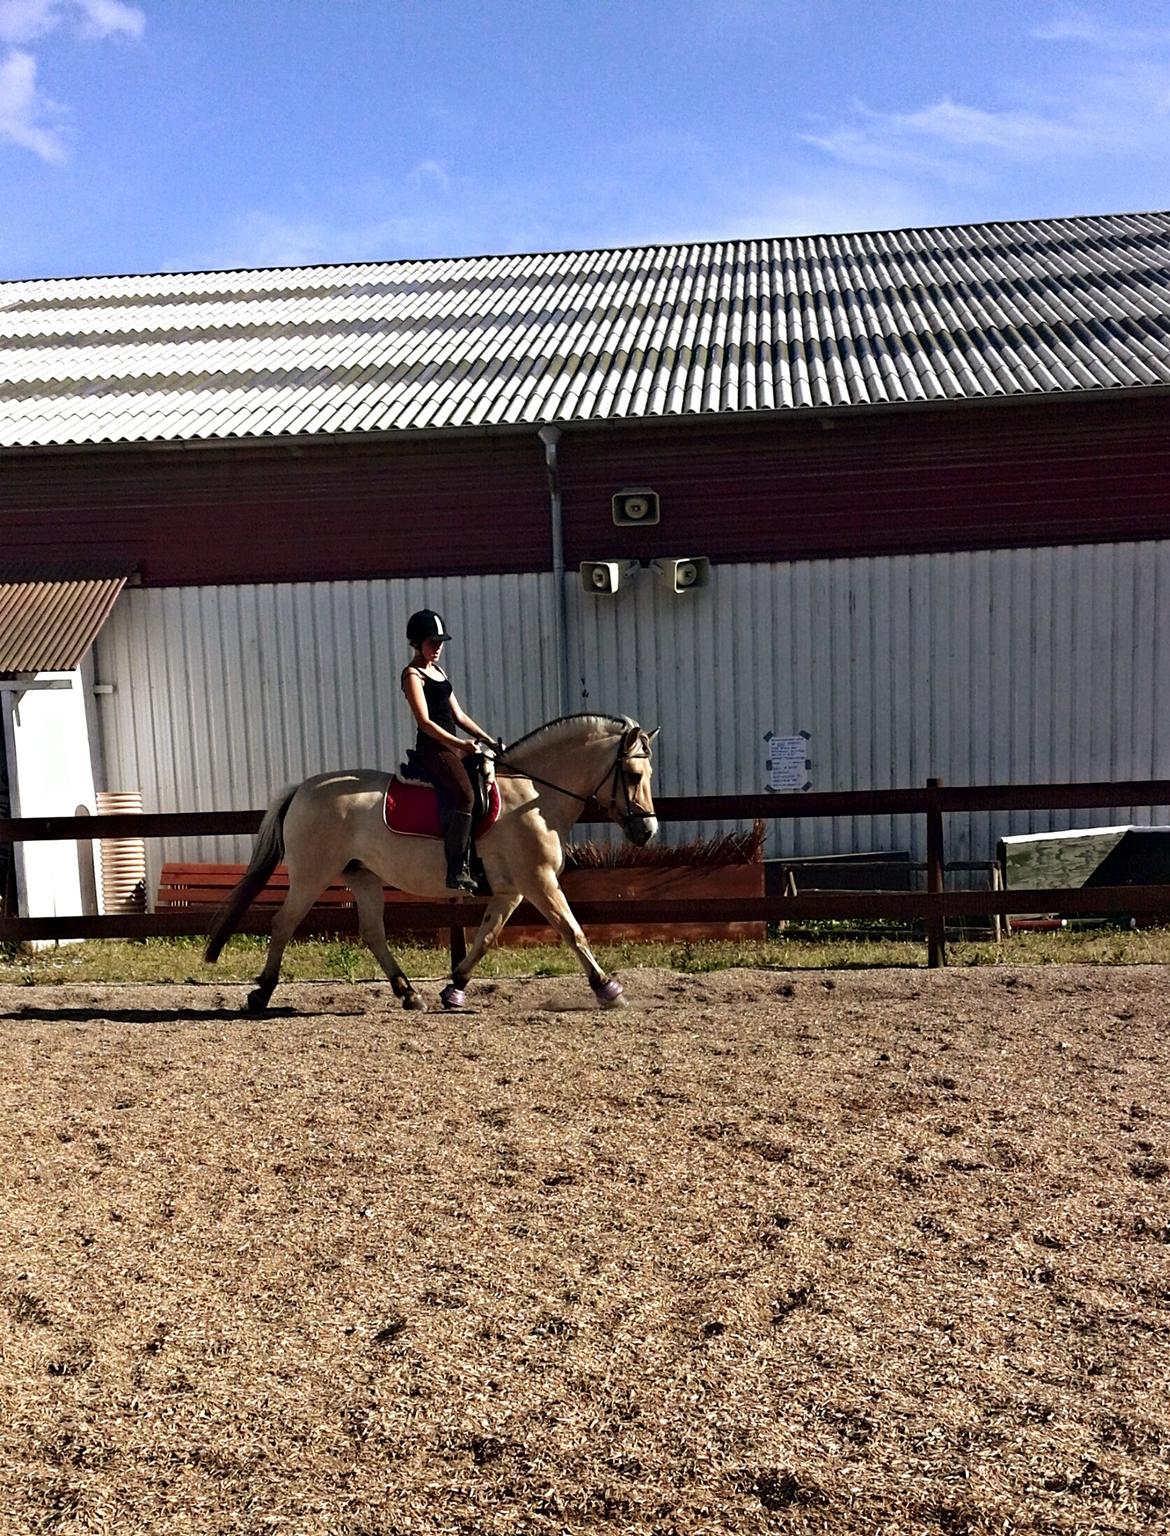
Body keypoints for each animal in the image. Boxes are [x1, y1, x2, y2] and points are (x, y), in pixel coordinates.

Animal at [204, 713, 659, 1014]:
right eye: (634, 775)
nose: (648, 831)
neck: (533, 793)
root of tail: (302, 788)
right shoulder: (539, 882)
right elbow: (573, 931)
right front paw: (608, 989)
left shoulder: (512, 890)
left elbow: (486, 937)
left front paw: (454, 989)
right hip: (312, 875)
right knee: (284, 923)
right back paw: (261, 994)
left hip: (363, 877)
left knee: (373, 932)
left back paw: (408, 993)